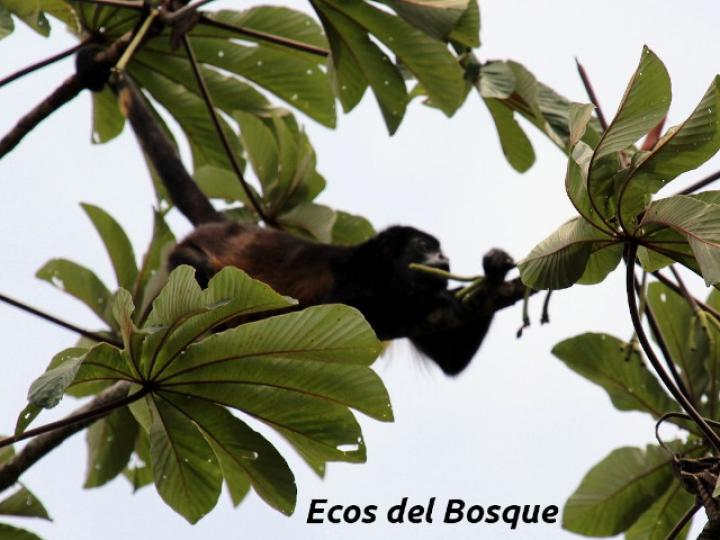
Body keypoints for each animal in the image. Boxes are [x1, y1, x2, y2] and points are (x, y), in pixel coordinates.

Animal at [74, 49, 524, 375]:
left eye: (439, 249)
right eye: (422, 246)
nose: (444, 258)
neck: (382, 274)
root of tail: (228, 225)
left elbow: (451, 361)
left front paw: (493, 268)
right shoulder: (352, 278)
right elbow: (349, 314)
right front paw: (440, 296)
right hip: (181, 261)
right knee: (196, 268)